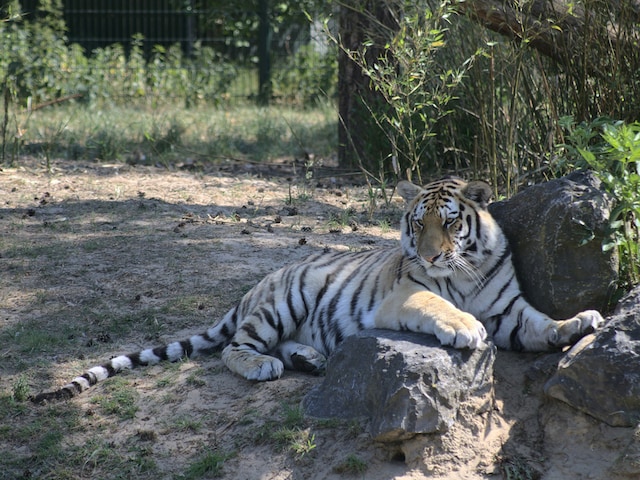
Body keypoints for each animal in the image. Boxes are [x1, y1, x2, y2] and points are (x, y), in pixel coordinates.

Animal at [32, 178, 604, 404]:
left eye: (448, 223)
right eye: (417, 224)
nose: (429, 255)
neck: (464, 269)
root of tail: (254, 286)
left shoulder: (510, 310)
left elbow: (542, 324)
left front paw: (581, 322)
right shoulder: (405, 295)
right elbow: (438, 304)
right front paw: (465, 328)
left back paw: (310, 359)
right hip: (285, 302)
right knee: (235, 348)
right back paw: (265, 366)